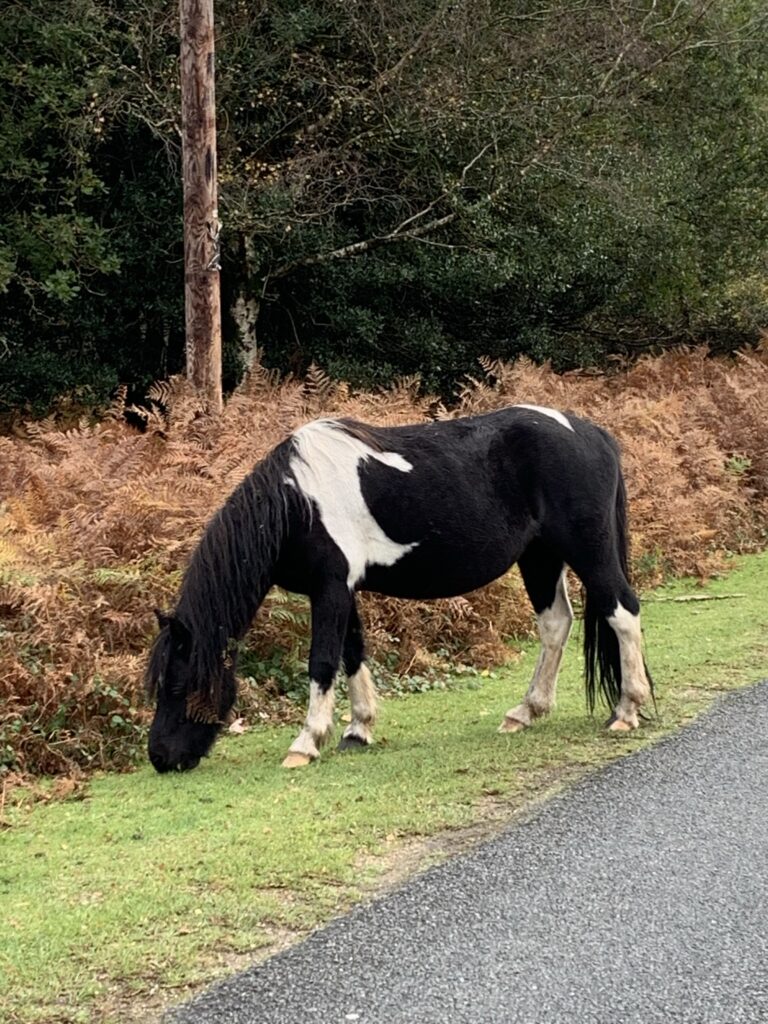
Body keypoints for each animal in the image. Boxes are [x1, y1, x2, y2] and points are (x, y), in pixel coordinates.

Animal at [146, 404, 653, 773]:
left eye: (178, 684)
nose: (161, 758)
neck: (297, 502)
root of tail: (591, 433)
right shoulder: (340, 589)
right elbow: (352, 653)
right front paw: (357, 731)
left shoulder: (330, 587)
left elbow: (323, 661)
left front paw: (306, 743)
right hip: (540, 558)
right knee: (555, 625)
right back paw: (525, 712)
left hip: (586, 551)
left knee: (622, 611)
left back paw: (627, 711)